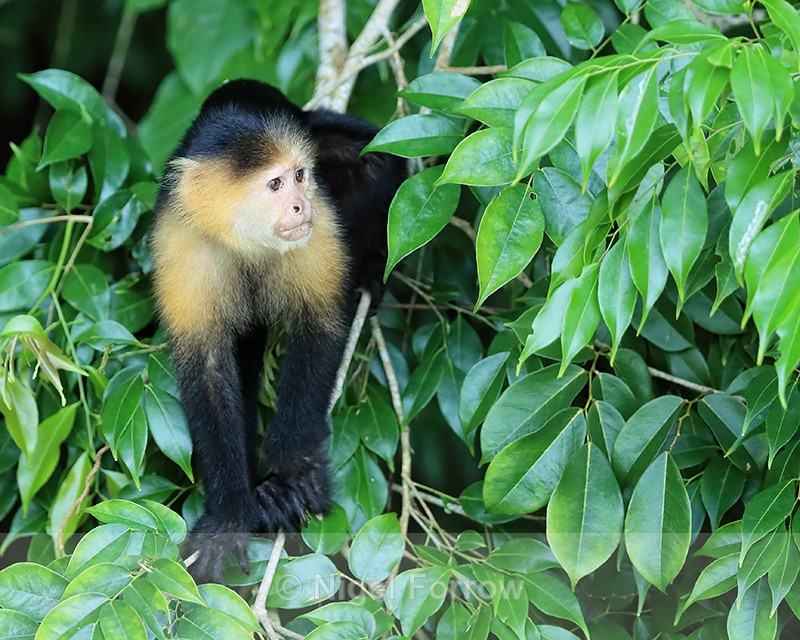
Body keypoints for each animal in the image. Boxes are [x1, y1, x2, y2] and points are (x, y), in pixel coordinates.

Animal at [150, 79, 407, 581]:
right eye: (274, 184)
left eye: (300, 176)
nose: (299, 204)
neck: (244, 237)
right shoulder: (180, 245)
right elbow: (207, 371)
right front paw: (230, 513)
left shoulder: (317, 229)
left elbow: (319, 328)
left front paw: (294, 472)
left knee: (373, 158)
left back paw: (371, 270)